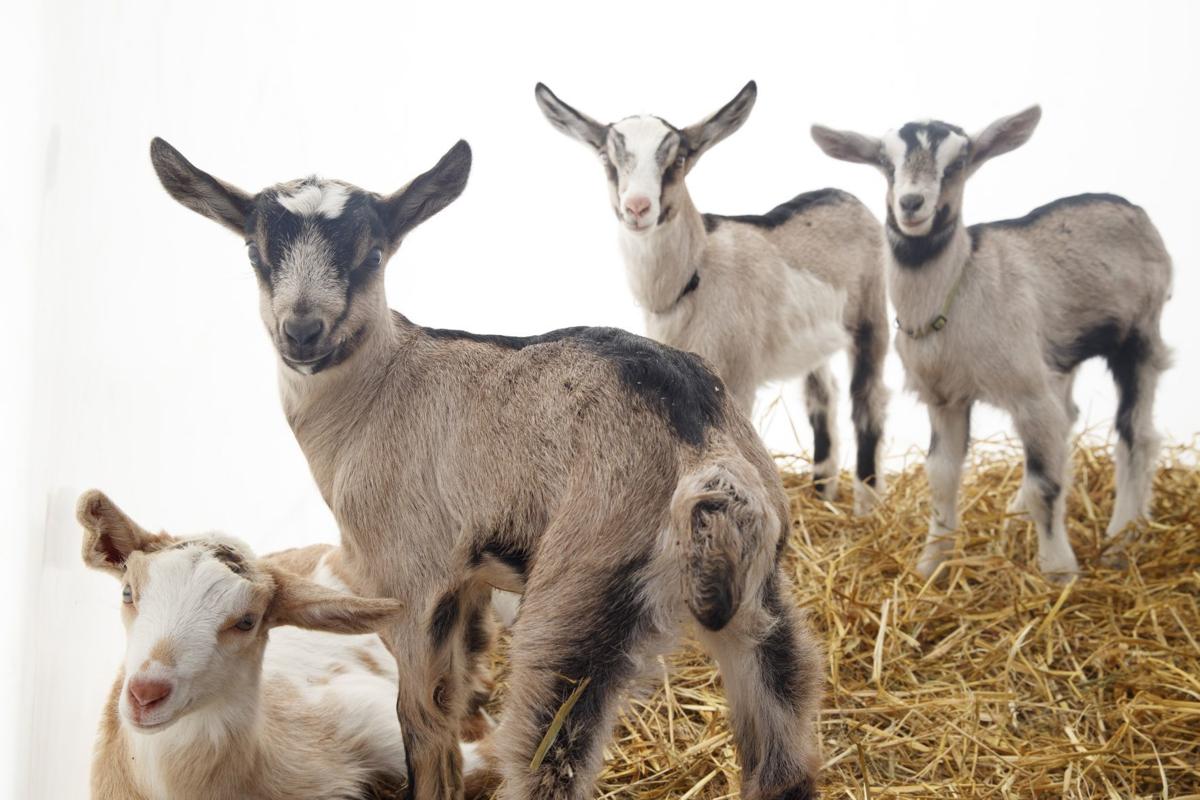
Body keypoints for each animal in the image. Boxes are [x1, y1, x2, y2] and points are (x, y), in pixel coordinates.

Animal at [148, 137, 823, 800]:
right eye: (255, 251)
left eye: (372, 252)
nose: (302, 330)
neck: (377, 388)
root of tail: (702, 455)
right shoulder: (464, 578)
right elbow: (463, 681)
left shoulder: (408, 580)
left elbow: (424, 723)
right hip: (760, 597)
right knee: (782, 751)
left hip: (576, 600)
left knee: (543, 760)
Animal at [534, 81, 889, 513]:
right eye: (607, 156)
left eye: (678, 158)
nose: (638, 207)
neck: (693, 275)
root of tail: (846, 196)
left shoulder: (738, 377)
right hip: (814, 344)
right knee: (823, 398)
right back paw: (824, 495)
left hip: (872, 317)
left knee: (868, 399)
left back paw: (867, 506)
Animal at [812, 106, 1172, 579]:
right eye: (886, 163)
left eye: (958, 163)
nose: (911, 203)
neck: (959, 287)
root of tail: (1134, 210)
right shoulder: (944, 397)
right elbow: (941, 476)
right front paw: (932, 564)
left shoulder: (1028, 394)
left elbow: (1045, 485)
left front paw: (1058, 572)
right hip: (1057, 356)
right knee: (1069, 417)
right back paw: (1018, 517)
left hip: (1139, 336)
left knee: (1136, 434)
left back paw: (1119, 541)